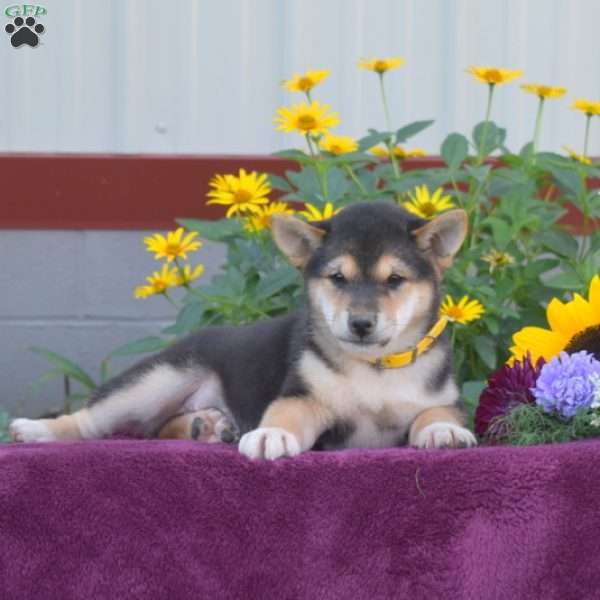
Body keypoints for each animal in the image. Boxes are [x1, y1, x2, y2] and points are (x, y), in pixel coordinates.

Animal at [9, 202, 476, 460]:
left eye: (395, 280)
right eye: (338, 278)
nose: (360, 324)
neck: (375, 366)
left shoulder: (442, 397)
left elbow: (436, 413)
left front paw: (443, 431)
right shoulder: (302, 396)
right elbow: (285, 415)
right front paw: (271, 435)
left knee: (153, 428)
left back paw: (206, 427)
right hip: (159, 379)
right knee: (95, 421)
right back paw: (36, 430)